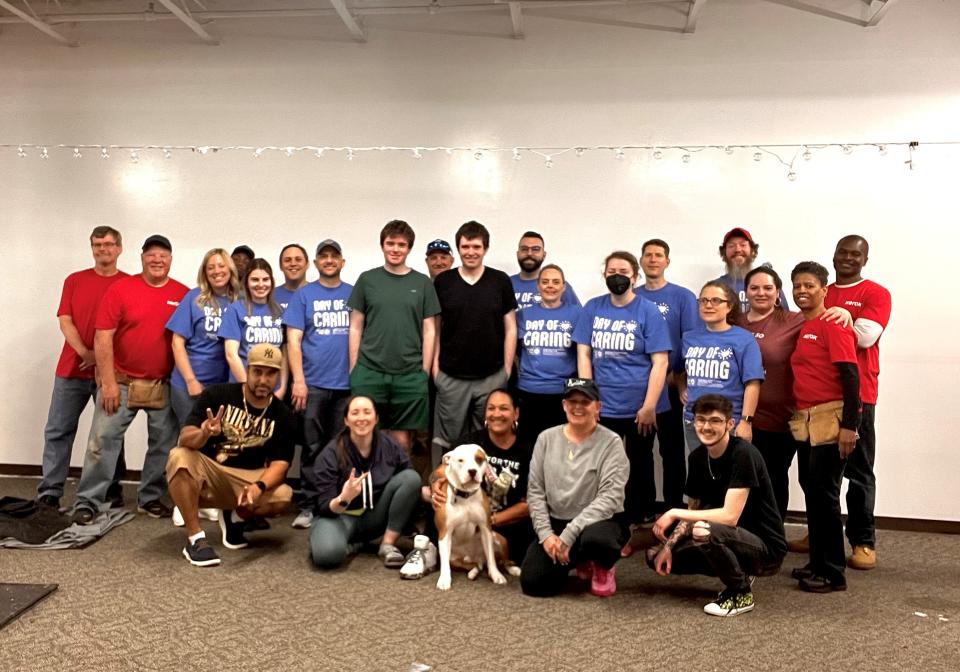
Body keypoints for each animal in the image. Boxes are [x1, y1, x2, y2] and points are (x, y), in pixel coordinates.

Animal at [436, 444, 520, 592]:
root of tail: (477, 558)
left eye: (479, 459)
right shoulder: (445, 533)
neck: (465, 496)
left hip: (500, 540)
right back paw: (473, 572)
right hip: (456, 559)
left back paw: (513, 570)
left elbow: (492, 558)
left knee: (503, 561)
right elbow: (444, 563)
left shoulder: (486, 529)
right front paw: (444, 579)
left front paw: (496, 575)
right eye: (460, 460)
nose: (472, 471)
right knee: (475, 565)